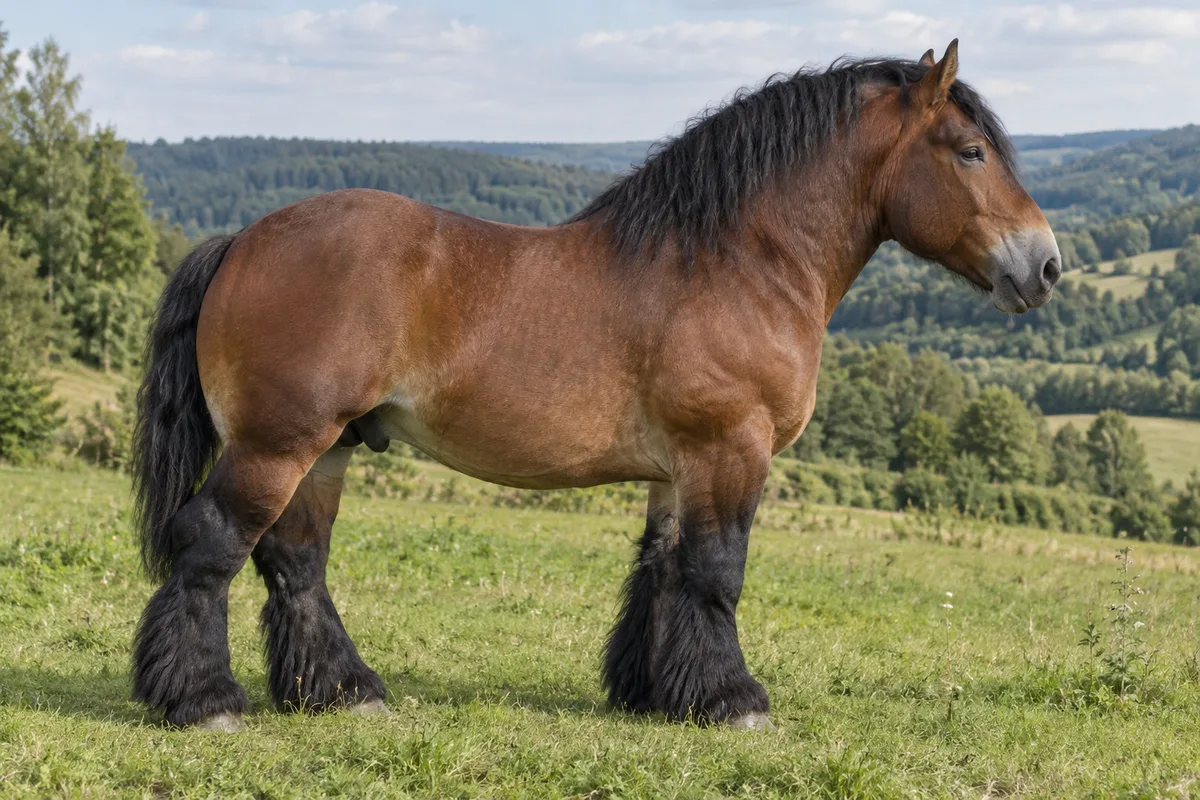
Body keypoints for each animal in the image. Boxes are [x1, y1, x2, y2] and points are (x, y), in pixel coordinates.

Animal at [130, 41, 1060, 732]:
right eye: (972, 151)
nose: (1045, 265)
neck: (736, 261)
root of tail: (244, 239)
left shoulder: (681, 469)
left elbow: (662, 572)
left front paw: (656, 694)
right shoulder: (733, 449)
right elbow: (716, 573)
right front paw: (733, 700)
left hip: (327, 449)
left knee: (295, 563)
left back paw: (343, 692)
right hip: (277, 444)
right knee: (213, 544)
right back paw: (203, 701)